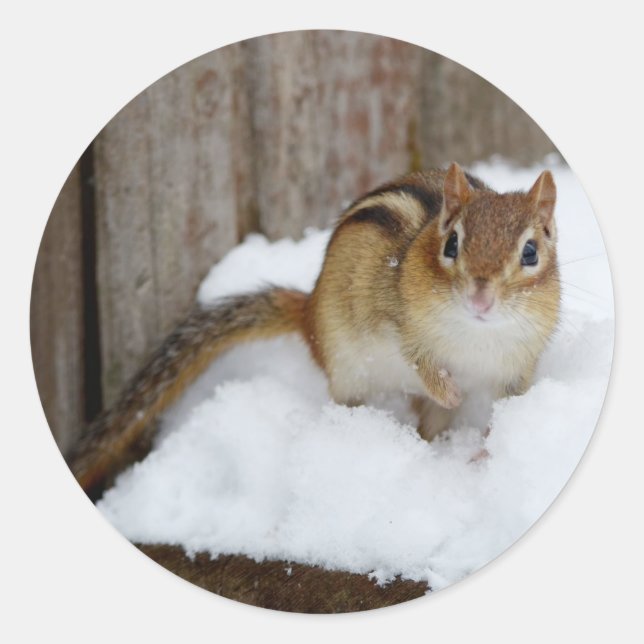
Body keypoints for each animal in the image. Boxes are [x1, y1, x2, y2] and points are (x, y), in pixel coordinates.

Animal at [68, 162, 560, 497]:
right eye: (452, 244)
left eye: (531, 252)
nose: (480, 299)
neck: (479, 334)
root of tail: (308, 311)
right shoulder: (400, 324)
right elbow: (421, 363)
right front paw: (452, 391)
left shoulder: (518, 368)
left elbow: (506, 412)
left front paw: (489, 454)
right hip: (347, 367)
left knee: (430, 424)